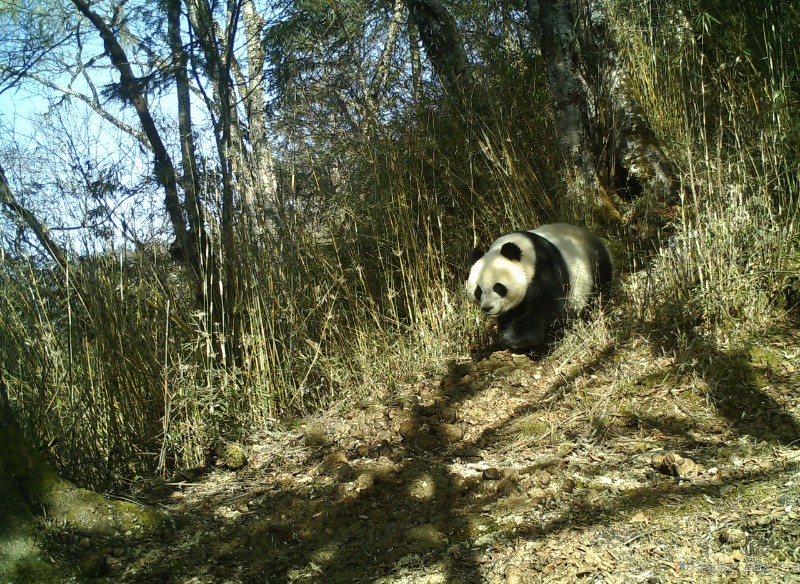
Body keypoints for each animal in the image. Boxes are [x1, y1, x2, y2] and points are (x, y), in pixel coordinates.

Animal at [468, 225, 612, 350]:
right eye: (478, 291)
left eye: (498, 287)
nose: (487, 308)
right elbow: (510, 314)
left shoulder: (544, 266)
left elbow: (548, 305)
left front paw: (516, 339)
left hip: (594, 267)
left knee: (599, 294)